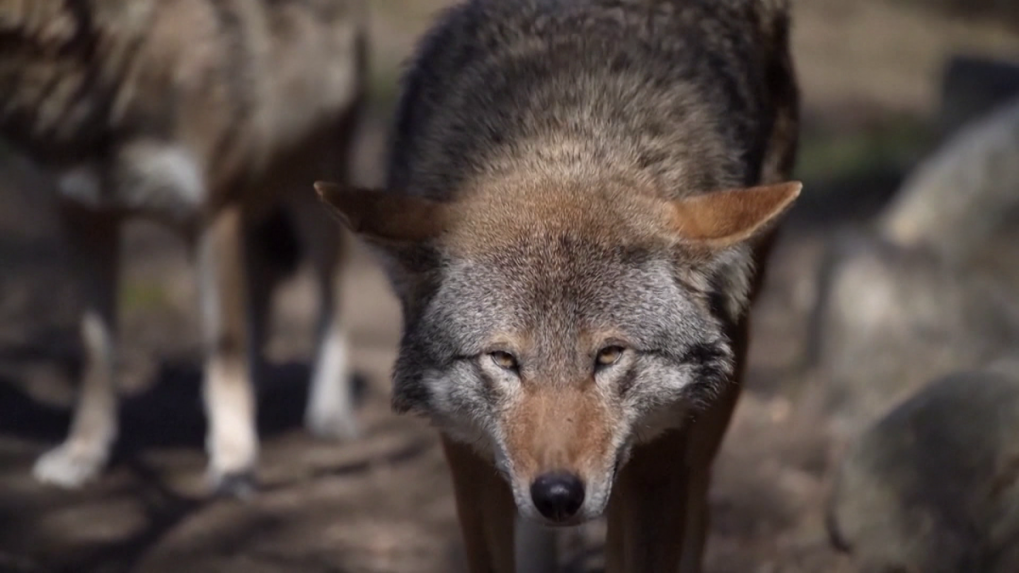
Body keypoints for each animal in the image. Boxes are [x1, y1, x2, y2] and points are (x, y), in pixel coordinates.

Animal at [0, 0, 366, 493]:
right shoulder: (83, 220)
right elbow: (97, 357)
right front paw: (82, 453)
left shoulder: (212, 214)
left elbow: (224, 354)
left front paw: (235, 462)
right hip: (254, 209)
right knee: (260, 293)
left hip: (312, 198)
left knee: (329, 299)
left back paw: (330, 412)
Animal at [322, 0, 798, 566]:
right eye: (504, 359)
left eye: (610, 355)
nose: (557, 495)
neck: (565, 130)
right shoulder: (466, 453)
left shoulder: (661, 459)